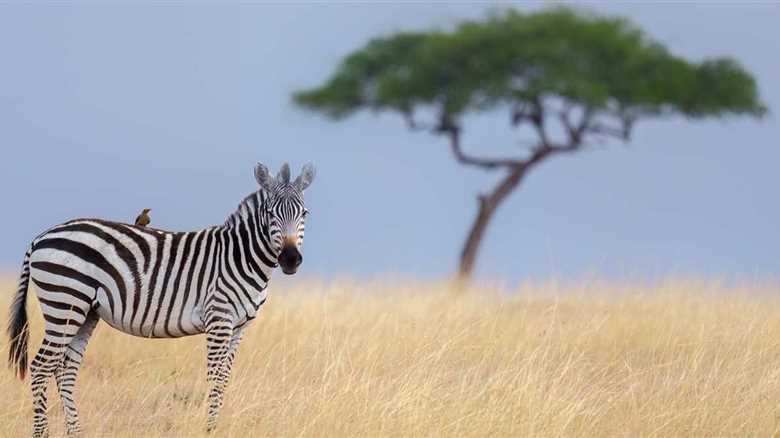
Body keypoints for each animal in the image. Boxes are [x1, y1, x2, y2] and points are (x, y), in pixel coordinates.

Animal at [7, 162, 315, 437]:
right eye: (270, 213)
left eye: (304, 213)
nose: (290, 259)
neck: (241, 257)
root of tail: (40, 237)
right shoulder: (218, 319)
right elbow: (214, 377)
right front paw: (209, 429)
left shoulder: (240, 327)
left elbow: (224, 379)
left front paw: (216, 426)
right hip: (64, 302)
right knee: (41, 366)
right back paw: (42, 433)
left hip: (84, 311)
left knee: (64, 369)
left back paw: (76, 432)